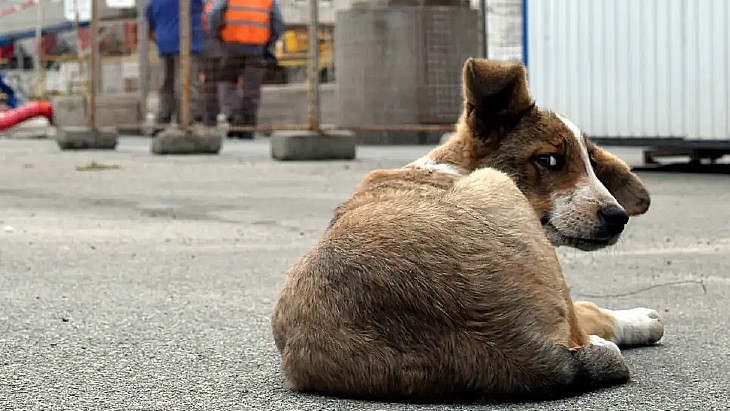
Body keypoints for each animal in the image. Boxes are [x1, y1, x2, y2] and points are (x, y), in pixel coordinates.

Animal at [270, 59, 664, 404]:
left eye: (592, 164)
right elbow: (587, 310)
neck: (451, 167)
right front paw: (639, 320)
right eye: (549, 160)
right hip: (501, 187)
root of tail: (515, 352)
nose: (617, 217)